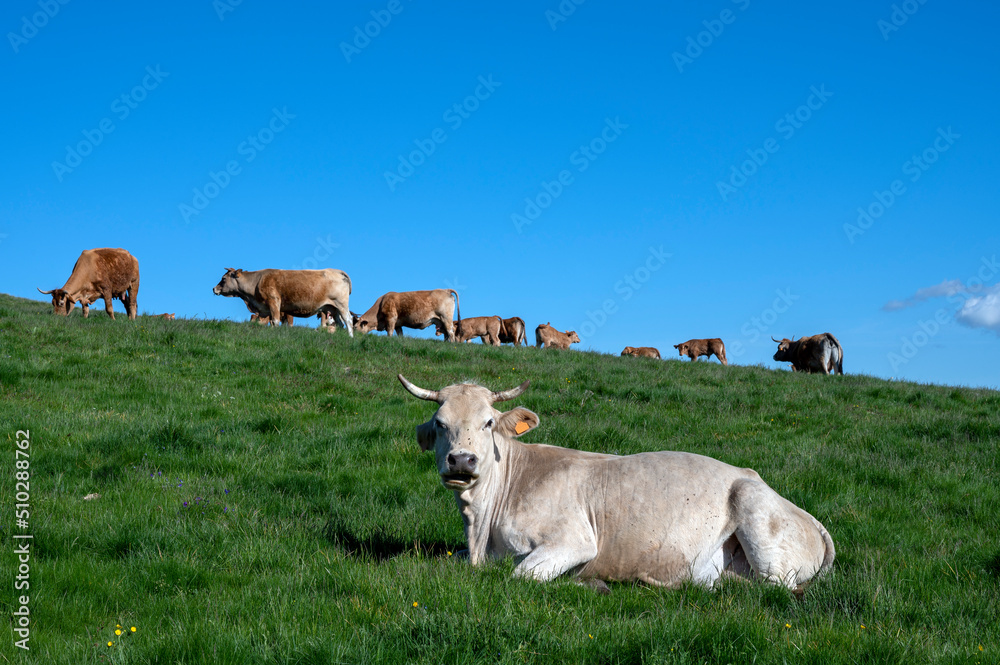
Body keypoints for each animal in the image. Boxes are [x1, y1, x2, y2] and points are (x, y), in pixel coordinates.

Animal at [211, 268, 352, 334]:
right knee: (340, 323)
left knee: (348, 320)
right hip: (332, 308)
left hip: (341, 304)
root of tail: (338, 271)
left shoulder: (273, 301)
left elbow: (275, 320)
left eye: (223, 279)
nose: (214, 288)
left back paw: (350, 337)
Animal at [398, 376, 836, 588]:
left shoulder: (574, 540)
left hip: (758, 520)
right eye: (440, 424)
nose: (461, 460)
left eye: (488, 422)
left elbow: (521, 575)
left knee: (772, 589)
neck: (480, 530)